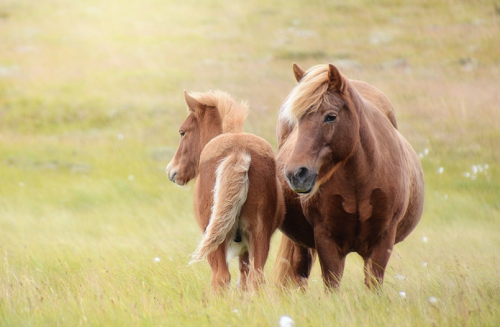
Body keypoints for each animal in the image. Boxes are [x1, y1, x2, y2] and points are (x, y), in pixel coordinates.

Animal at [167, 89, 284, 292]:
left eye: (183, 132)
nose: (172, 171)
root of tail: (238, 151)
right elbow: (244, 279)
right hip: (259, 234)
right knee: (255, 278)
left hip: (215, 241)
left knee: (220, 278)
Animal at [276, 63, 424, 290]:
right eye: (297, 120)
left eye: (331, 116)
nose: (295, 174)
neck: (359, 180)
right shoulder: (327, 240)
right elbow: (332, 285)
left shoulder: (383, 241)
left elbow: (373, 285)